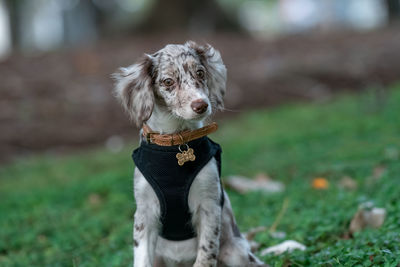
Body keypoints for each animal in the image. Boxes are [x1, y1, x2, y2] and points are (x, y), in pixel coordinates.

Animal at [113, 41, 268, 267]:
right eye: (168, 81)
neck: (176, 142)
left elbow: (205, 255)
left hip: (236, 253)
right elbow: (141, 259)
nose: (201, 105)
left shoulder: (209, 204)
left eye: (200, 73)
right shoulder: (144, 211)